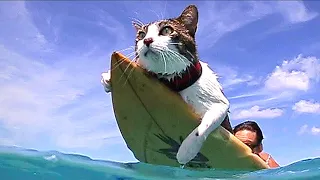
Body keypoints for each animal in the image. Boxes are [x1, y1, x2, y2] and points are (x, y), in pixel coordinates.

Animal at [101, 4, 234, 166]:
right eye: (141, 34)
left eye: (166, 30)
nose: (147, 40)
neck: (174, 80)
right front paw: (108, 77)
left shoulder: (219, 104)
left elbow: (204, 125)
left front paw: (186, 151)